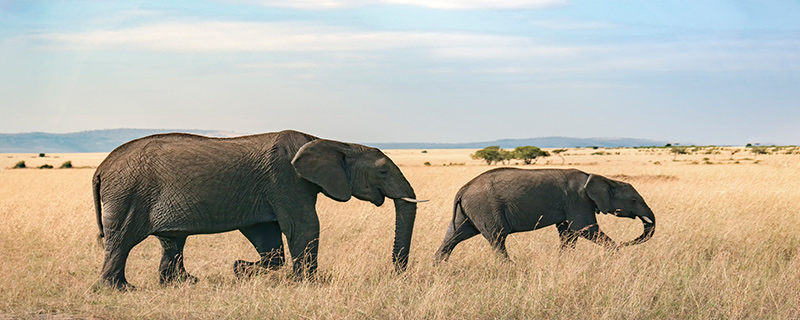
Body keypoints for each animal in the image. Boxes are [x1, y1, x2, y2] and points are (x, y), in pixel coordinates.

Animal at [92, 129, 424, 290]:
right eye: (382, 171)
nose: (396, 273)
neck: (332, 142)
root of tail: (101, 168)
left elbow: (268, 236)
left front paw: (241, 269)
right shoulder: (286, 179)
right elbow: (304, 227)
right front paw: (309, 283)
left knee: (172, 241)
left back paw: (183, 283)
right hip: (129, 195)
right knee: (122, 240)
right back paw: (121, 289)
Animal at [434, 168, 652, 262]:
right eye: (634, 200)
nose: (626, 243)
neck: (601, 177)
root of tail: (463, 189)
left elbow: (568, 233)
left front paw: (563, 262)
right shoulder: (579, 201)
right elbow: (584, 229)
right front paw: (616, 254)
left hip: (469, 211)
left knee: (454, 236)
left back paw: (440, 266)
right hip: (485, 207)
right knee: (497, 238)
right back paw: (511, 267)